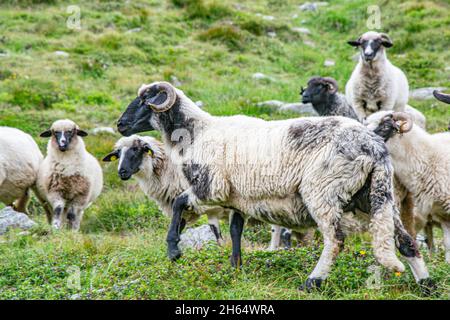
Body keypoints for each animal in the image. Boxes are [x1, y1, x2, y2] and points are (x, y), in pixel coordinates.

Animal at [116, 81, 432, 292]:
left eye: (145, 100)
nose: (120, 124)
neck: (195, 133)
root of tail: (373, 146)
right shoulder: (237, 198)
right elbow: (235, 230)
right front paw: (235, 267)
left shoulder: (209, 187)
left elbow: (179, 204)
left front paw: (174, 250)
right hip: (374, 195)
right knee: (406, 240)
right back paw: (426, 284)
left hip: (324, 191)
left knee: (336, 240)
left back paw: (312, 282)